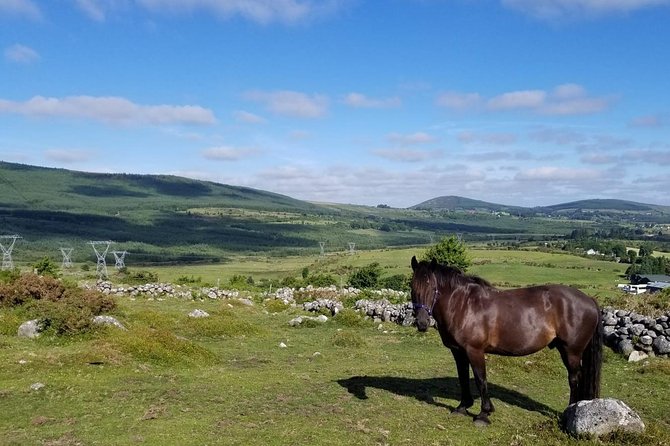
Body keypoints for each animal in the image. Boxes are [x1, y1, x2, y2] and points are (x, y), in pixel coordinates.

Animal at [410, 256, 602, 426]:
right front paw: (463, 407)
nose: (422, 323)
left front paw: (484, 414)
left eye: (431, 286)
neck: (463, 305)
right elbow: (463, 377)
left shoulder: (474, 350)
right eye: (412, 287)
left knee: (574, 378)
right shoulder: (458, 351)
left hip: (572, 351)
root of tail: (590, 300)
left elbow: (481, 379)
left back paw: (569, 410)